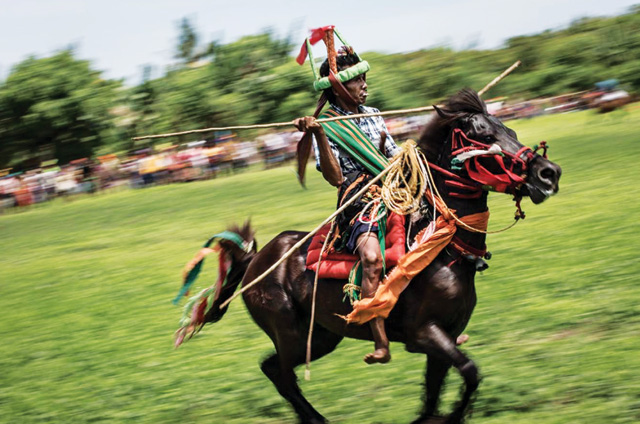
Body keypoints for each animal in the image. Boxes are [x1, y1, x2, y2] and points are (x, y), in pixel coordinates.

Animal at [194, 88, 560, 422]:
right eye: (485, 137)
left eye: (510, 131)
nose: (549, 173)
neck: (442, 250)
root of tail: (255, 262)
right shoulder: (425, 333)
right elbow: (470, 371)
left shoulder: (446, 337)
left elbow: (436, 390)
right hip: (291, 333)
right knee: (283, 375)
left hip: (323, 335)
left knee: (274, 369)